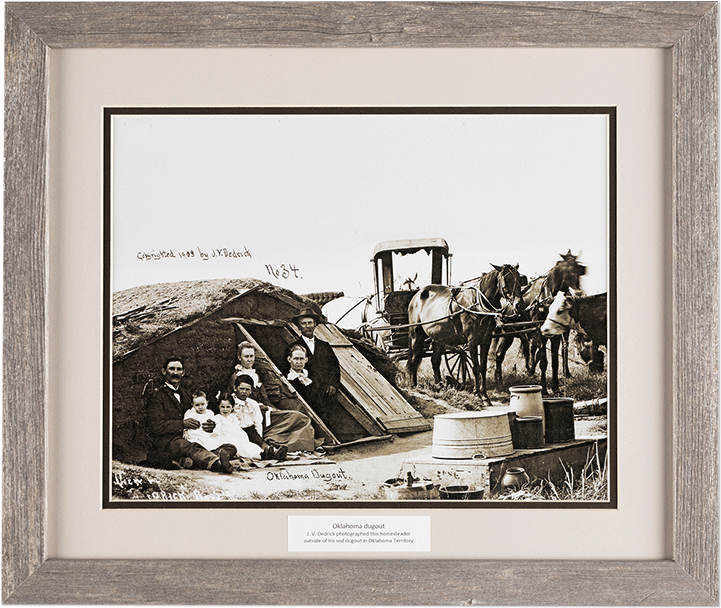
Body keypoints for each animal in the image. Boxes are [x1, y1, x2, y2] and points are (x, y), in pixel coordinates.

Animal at [404, 264, 524, 406]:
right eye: (506, 280)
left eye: (519, 279)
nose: (519, 305)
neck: (477, 305)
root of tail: (416, 295)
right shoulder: (472, 341)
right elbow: (475, 367)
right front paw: (478, 395)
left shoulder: (486, 340)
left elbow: (482, 367)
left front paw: (485, 396)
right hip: (416, 334)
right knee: (414, 357)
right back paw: (413, 384)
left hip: (439, 338)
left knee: (435, 360)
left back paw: (439, 386)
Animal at [492, 249, 588, 392]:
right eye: (566, 269)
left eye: (578, 269)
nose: (578, 292)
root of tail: (507, 306)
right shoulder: (540, 333)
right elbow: (543, 360)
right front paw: (544, 389)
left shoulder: (555, 335)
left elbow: (554, 362)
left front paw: (555, 387)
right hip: (508, 333)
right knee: (499, 354)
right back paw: (499, 380)